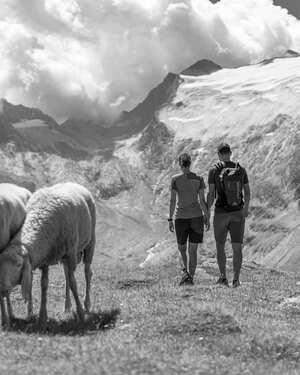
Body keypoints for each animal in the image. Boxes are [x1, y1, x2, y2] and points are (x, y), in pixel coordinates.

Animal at [0, 184, 96, 328]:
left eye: (18, 264)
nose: (2, 287)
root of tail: (73, 183)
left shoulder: (70, 254)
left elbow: (74, 284)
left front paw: (80, 313)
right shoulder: (46, 258)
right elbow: (44, 285)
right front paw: (42, 316)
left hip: (90, 241)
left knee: (87, 272)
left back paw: (87, 304)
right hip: (65, 255)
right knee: (67, 275)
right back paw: (67, 306)